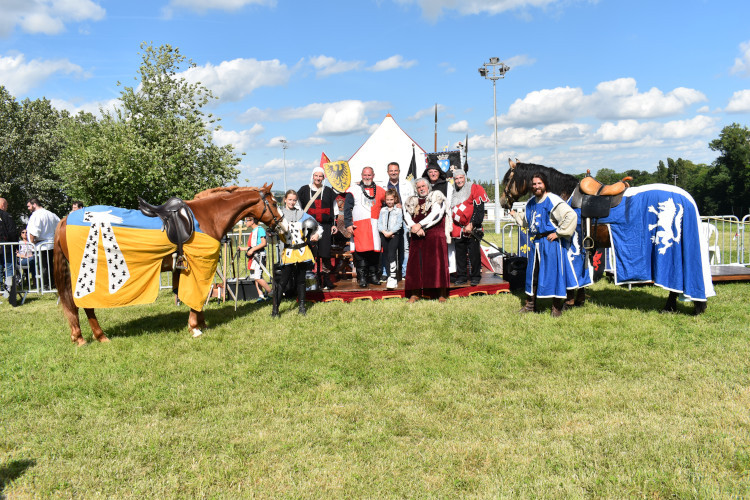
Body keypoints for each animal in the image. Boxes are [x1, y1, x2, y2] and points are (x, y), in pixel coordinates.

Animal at [54, 184, 290, 344]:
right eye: (274, 203)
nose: (284, 226)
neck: (208, 216)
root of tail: (66, 219)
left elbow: (197, 296)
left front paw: (201, 323)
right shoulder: (200, 266)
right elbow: (197, 296)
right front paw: (194, 327)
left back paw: (81, 336)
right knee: (85, 304)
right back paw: (99, 336)